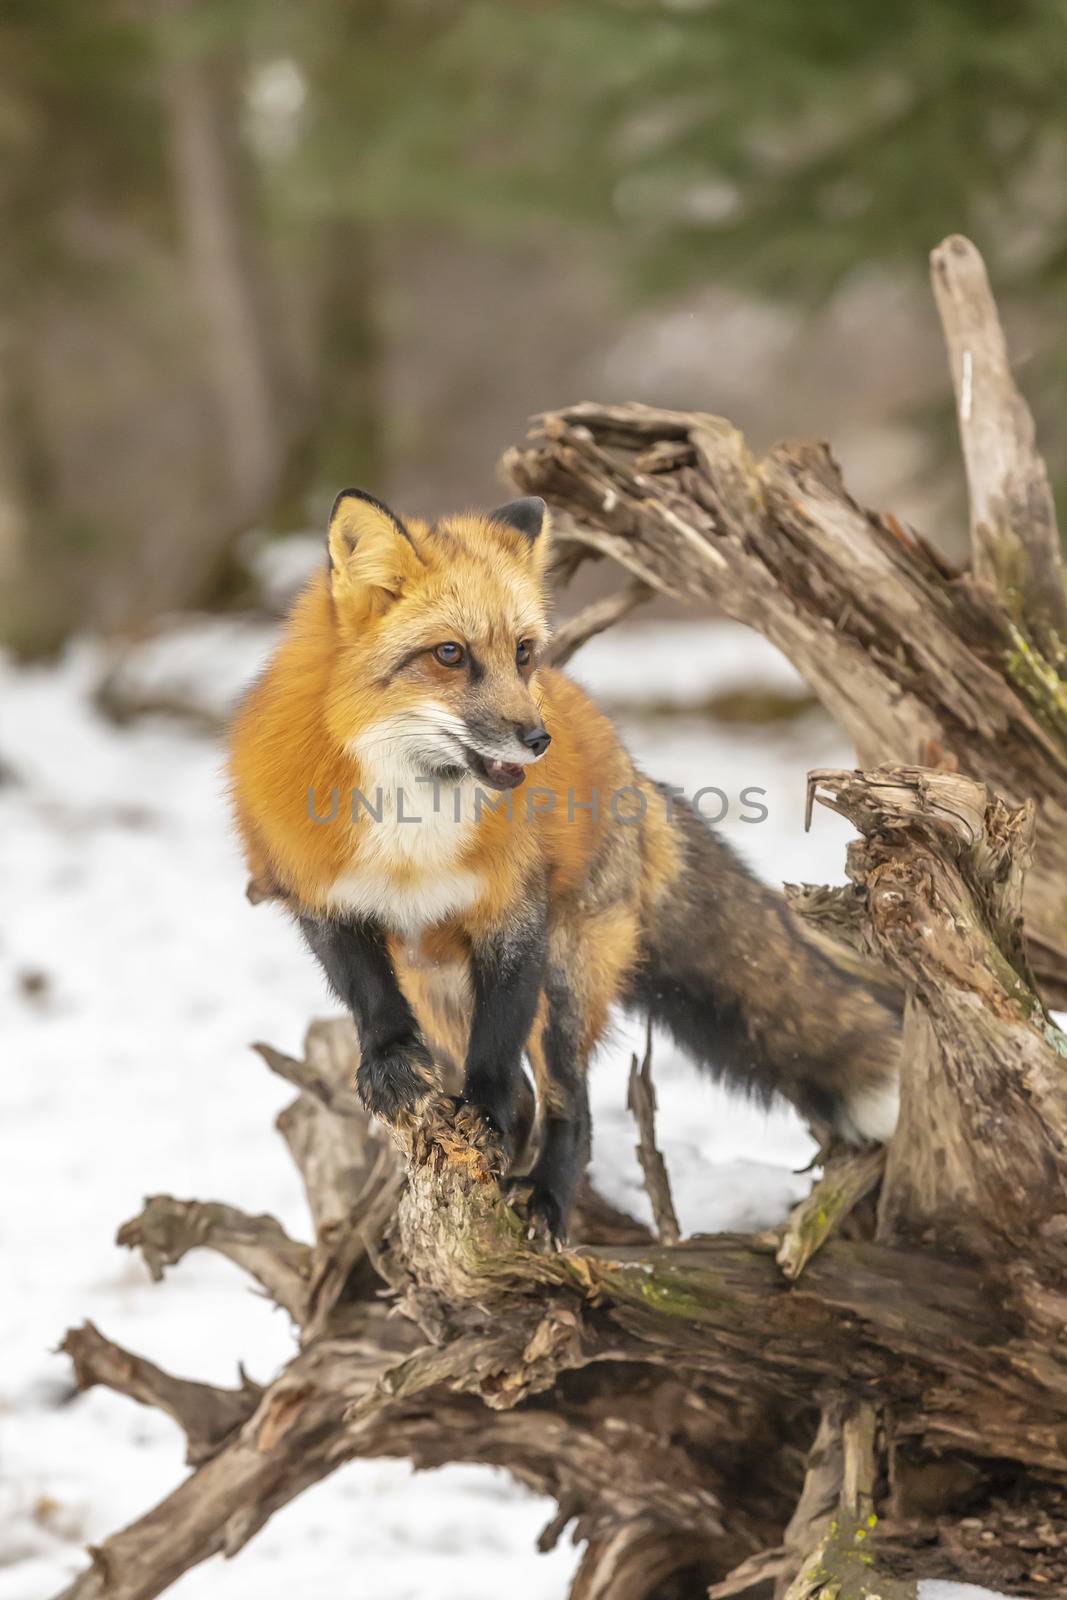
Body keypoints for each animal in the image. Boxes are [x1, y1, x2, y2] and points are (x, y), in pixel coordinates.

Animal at [227, 486, 902, 1235]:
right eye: (449, 654)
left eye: (522, 652)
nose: (536, 739)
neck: (413, 822)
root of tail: (628, 765)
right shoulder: (324, 898)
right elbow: (369, 998)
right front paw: (391, 1066)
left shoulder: (516, 913)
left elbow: (499, 1052)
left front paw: (485, 1115)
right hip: (438, 983)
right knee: (529, 1092)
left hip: (568, 975)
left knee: (566, 1100)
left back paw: (546, 1195)